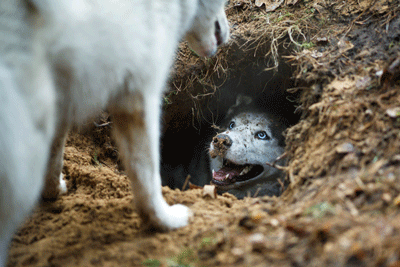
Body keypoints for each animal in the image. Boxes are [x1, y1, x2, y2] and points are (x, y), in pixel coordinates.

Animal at [0, 0, 230, 264]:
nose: (226, 36)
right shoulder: (139, 94)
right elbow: (147, 175)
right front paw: (164, 220)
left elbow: (55, 154)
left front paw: (52, 191)